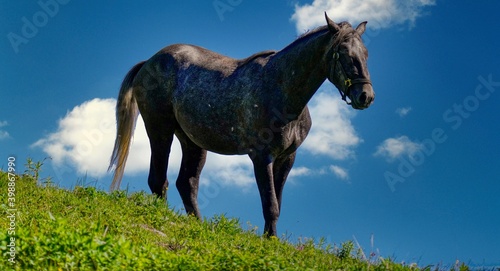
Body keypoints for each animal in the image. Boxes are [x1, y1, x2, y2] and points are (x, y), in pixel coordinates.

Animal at [109, 13, 376, 237]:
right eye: (343, 53)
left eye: (365, 54)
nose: (365, 96)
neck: (281, 89)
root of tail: (149, 62)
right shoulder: (262, 156)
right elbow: (270, 204)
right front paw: (270, 241)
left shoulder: (287, 158)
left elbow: (277, 202)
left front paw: (271, 239)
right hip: (160, 130)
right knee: (158, 180)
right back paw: (164, 219)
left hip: (192, 142)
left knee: (186, 183)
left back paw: (198, 226)